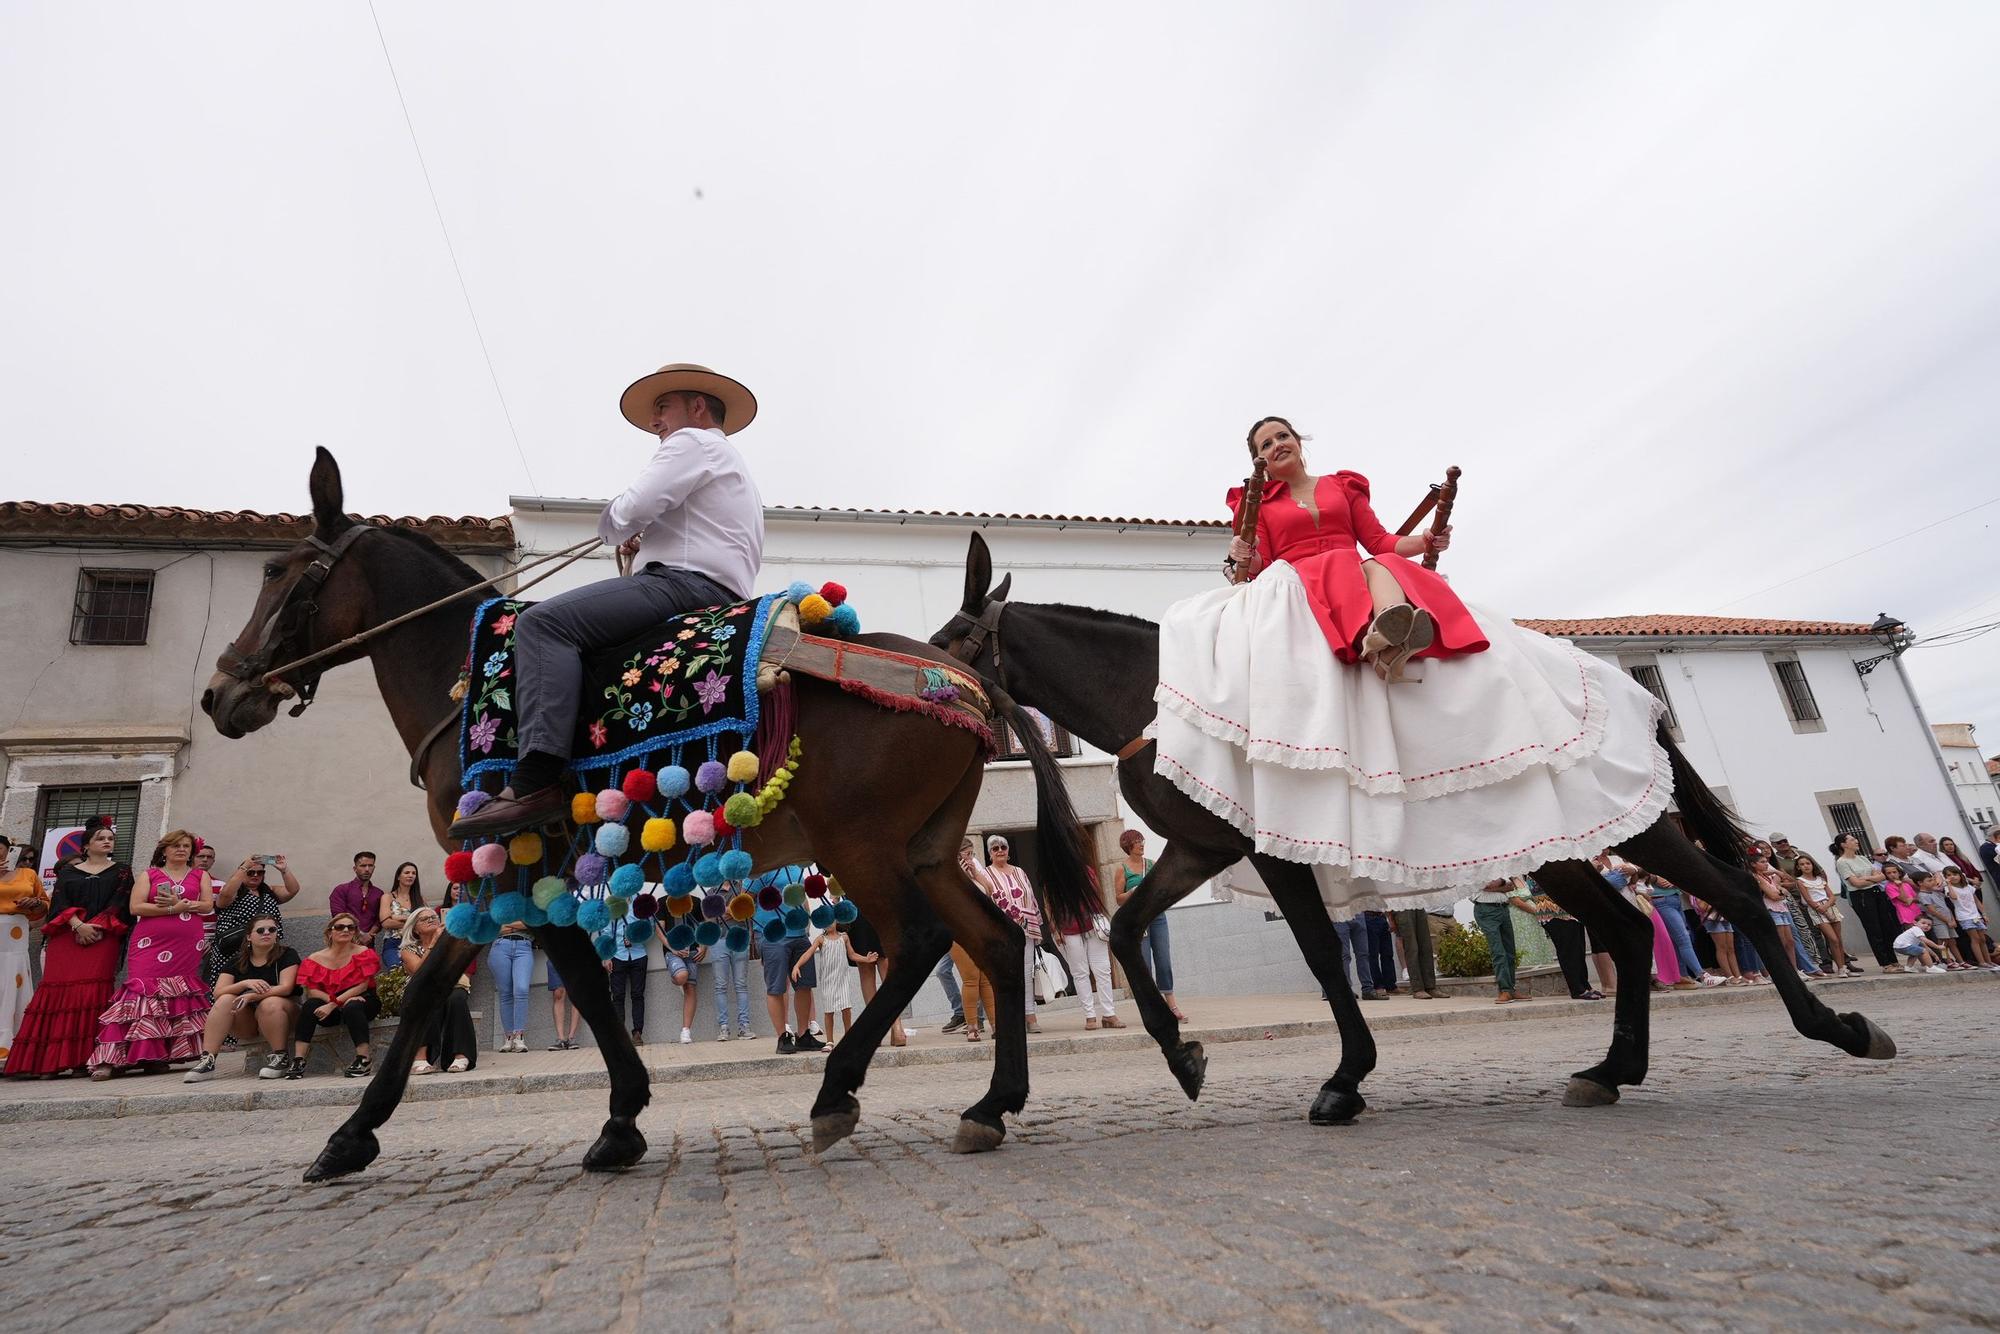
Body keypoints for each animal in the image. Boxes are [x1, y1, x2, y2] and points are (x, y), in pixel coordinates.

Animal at [203, 454, 1096, 1184]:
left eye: (279, 570)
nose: (221, 693)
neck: (468, 685)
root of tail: (965, 686)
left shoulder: (506, 870)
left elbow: (482, 987)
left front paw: (354, 1136)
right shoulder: (514, 878)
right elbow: (541, 985)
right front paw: (617, 1122)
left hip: (863, 845)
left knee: (918, 940)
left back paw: (836, 1094)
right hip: (929, 850)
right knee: (997, 942)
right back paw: (990, 1107)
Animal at [928, 532, 1896, 1128]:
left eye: (952, 639)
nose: (926, 694)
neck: (1156, 694)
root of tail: (1634, 696)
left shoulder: (1264, 849)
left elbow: (1323, 955)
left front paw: (1344, 1080)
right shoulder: (1204, 846)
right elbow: (1129, 931)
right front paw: (1183, 1055)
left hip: (1634, 827)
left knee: (1736, 893)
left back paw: (1838, 1028)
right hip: (1557, 851)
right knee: (1627, 928)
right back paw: (1611, 1070)